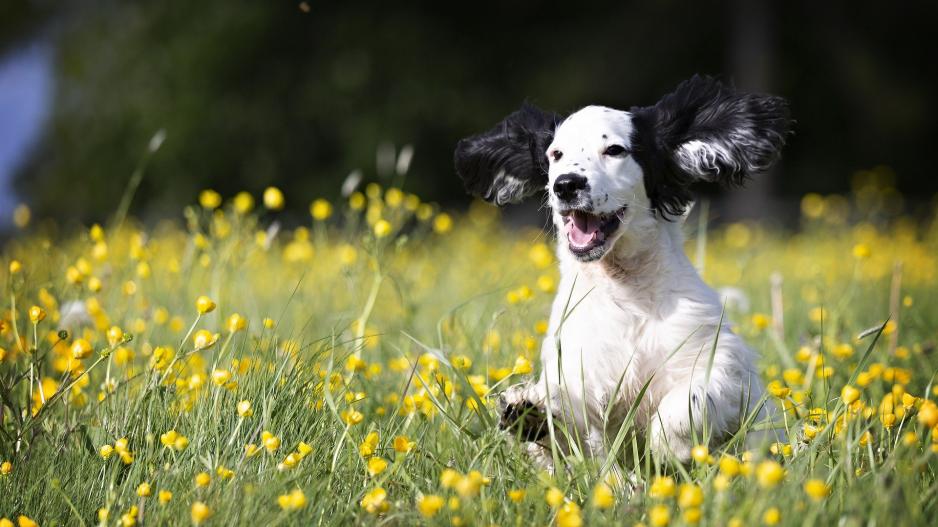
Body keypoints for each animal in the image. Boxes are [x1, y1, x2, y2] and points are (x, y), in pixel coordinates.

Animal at [454, 76, 788, 468]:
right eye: (555, 154)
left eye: (615, 150)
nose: (566, 184)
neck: (625, 291)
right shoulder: (579, 373)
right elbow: (568, 427)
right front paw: (529, 413)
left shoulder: (721, 363)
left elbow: (689, 398)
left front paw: (670, 445)